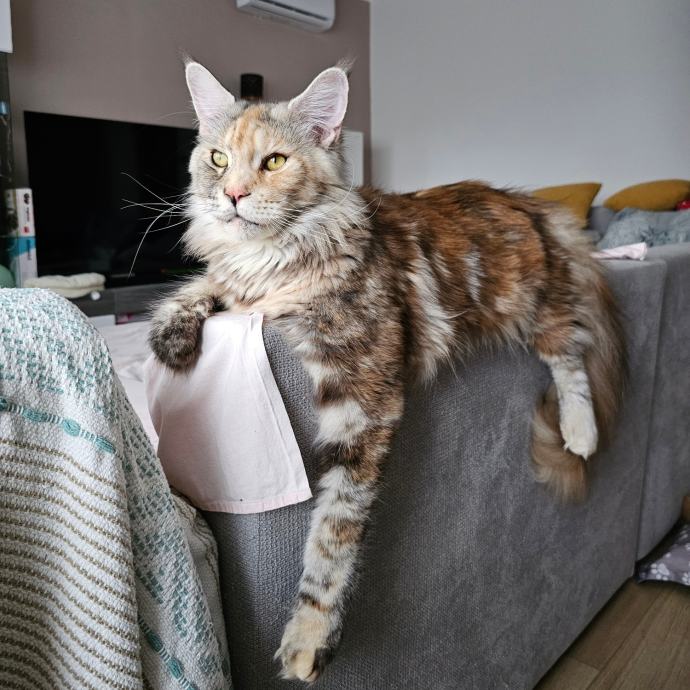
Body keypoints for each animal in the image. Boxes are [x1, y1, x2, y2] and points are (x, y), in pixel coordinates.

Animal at [149, 60, 626, 683]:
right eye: (217, 159)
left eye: (274, 162)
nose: (231, 195)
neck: (272, 262)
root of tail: (527, 200)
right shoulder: (241, 293)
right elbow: (202, 286)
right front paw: (170, 337)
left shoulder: (362, 398)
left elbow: (333, 533)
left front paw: (309, 638)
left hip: (532, 305)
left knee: (569, 349)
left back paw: (580, 432)